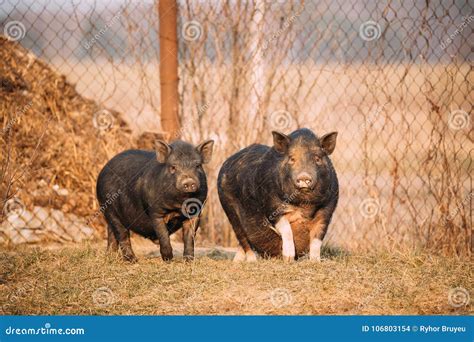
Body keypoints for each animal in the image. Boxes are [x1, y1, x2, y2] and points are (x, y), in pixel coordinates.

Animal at [217, 128, 338, 262]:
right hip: (230, 211)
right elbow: (286, 230)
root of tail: (226, 162)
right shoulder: (273, 208)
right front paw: (288, 259)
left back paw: (238, 261)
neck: (304, 205)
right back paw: (252, 261)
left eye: (317, 159)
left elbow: (317, 240)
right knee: (243, 239)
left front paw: (315, 261)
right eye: (291, 159)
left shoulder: (326, 212)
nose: (304, 177)